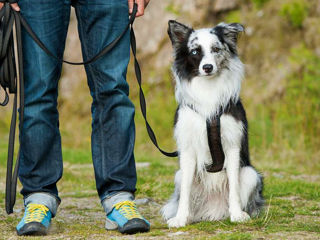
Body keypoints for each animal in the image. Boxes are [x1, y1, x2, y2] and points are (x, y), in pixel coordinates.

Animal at [161, 20, 264, 227]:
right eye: (194, 52)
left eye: (216, 49)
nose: (207, 67)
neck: (208, 88)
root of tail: (213, 209)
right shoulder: (187, 148)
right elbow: (185, 192)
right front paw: (180, 218)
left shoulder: (232, 145)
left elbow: (233, 186)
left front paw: (237, 215)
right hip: (178, 175)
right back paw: (190, 216)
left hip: (251, 174)